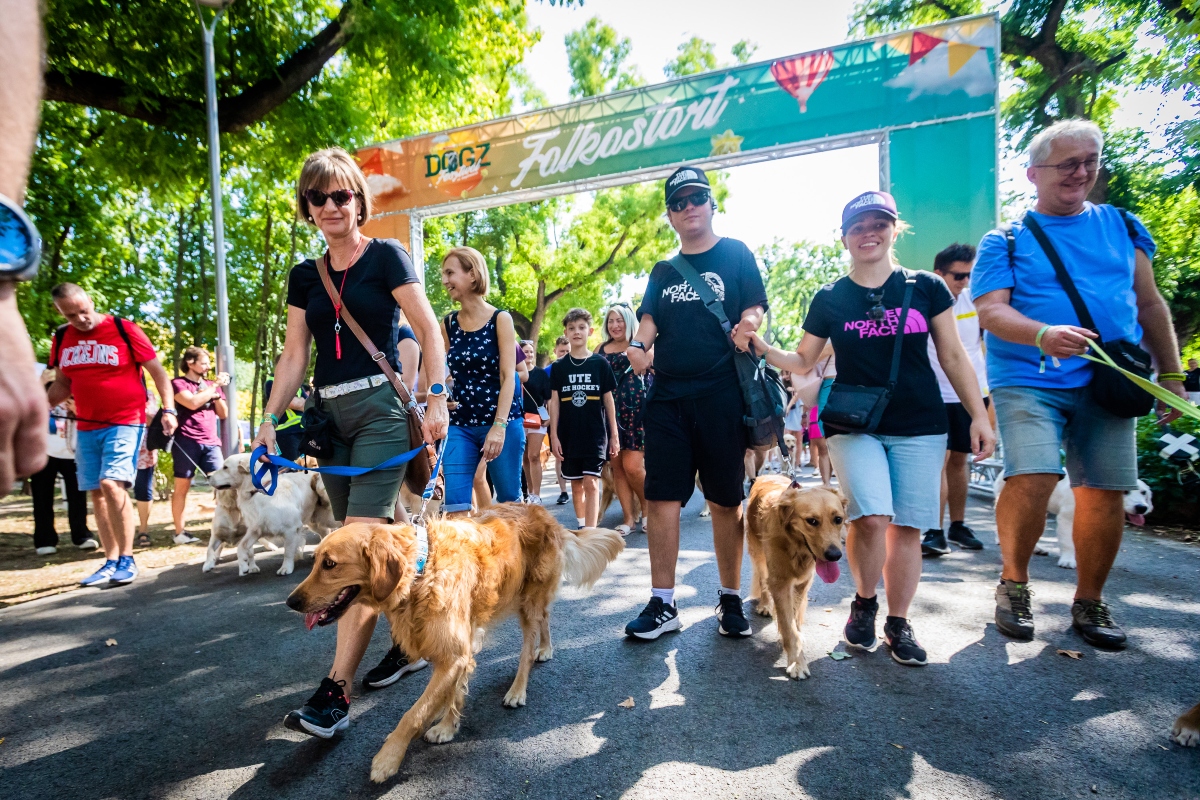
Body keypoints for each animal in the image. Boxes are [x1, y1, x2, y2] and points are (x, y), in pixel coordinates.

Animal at [206, 455, 336, 575]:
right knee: (325, 533)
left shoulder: (291, 529)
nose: (208, 476)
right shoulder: (255, 529)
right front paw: (243, 566)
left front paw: (286, 568)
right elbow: (241, 547)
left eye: (225, 467)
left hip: (328, 517)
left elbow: (287, 551)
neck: (261, 490)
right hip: (314, 521)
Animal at [993, 474, 1152, 568]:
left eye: (1143, 492)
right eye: (1125, 492)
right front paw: (1068, 560)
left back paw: (1037, 548)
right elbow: (1068, 542)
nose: (1142, 507)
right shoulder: (1066, 519)